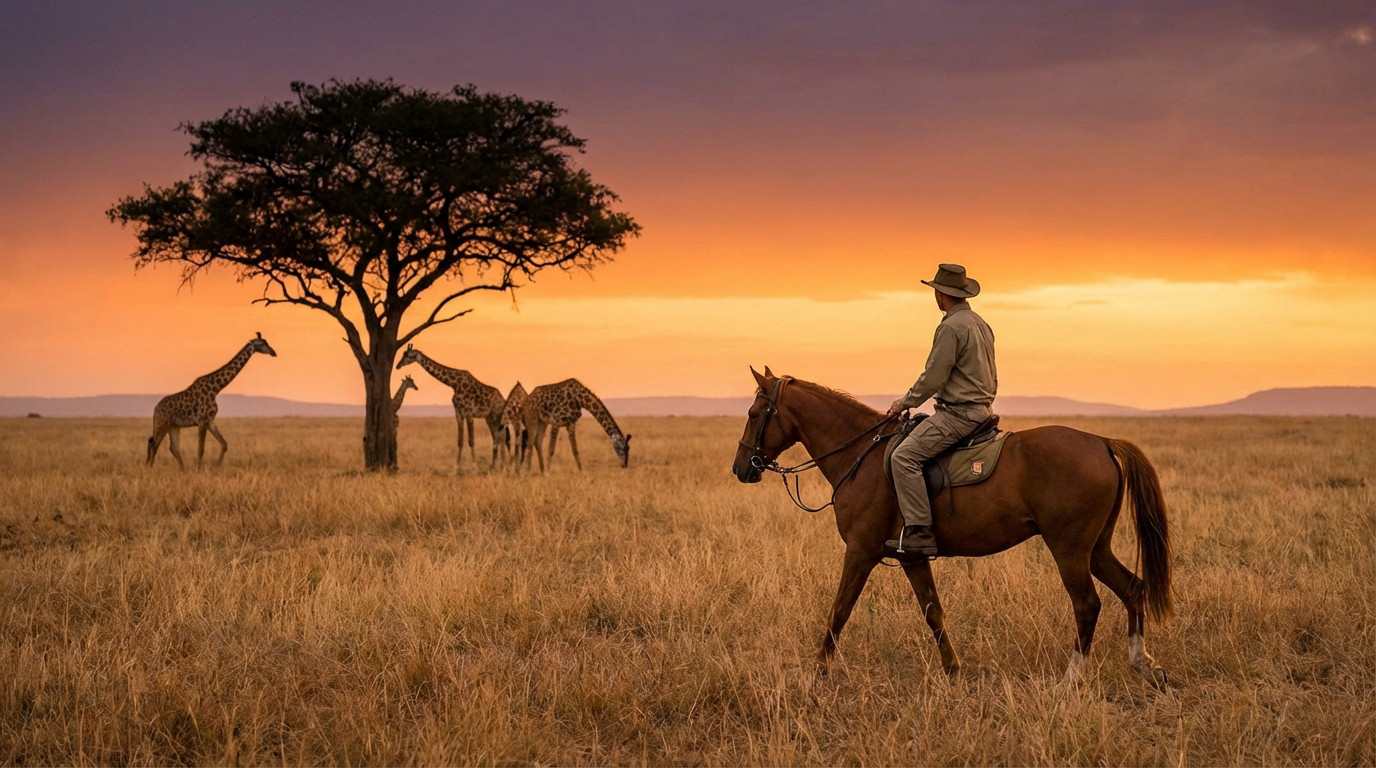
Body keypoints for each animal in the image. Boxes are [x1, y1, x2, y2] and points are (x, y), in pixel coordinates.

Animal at [731, 367, 1172, 688]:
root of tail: (1102, 442)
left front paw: (817, 672)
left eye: (753, 415)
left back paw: (1071, 680)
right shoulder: (910, 556)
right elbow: (933, 612)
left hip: (1069, 550)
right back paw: (1144, 664)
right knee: (1133, 588)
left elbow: (840, 609)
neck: (861, 455)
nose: (741, 468)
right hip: (1096, 548)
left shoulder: (860, 551)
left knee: (1088, 604)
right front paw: (954, 671)